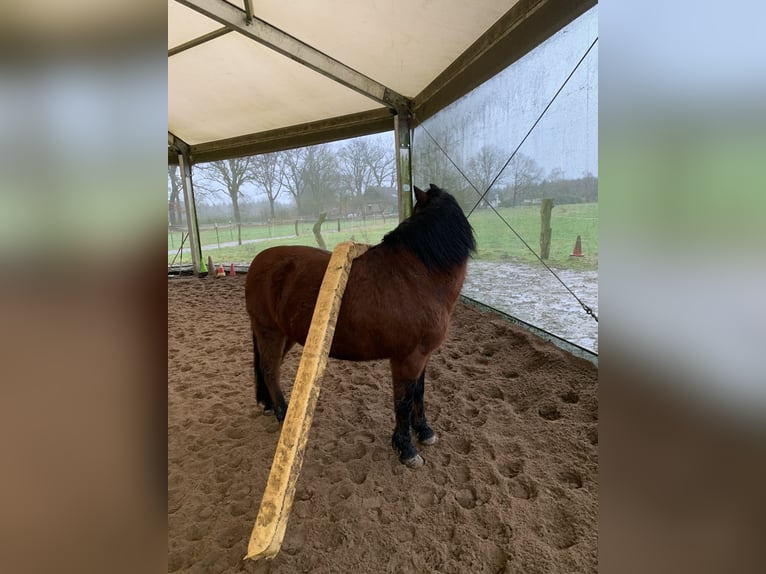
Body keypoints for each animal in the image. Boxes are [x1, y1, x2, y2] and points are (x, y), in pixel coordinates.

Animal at [246, 184, 474, 468]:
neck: (418, 275)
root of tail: (258, 261)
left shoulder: (423, 357)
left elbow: (419, 393)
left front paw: (424, 431)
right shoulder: (407, 359)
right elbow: (404, 401)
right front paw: (406, 449)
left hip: (285, 335)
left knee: (270, 368)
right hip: (270, 332)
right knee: (269, 370)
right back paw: (283, 413)